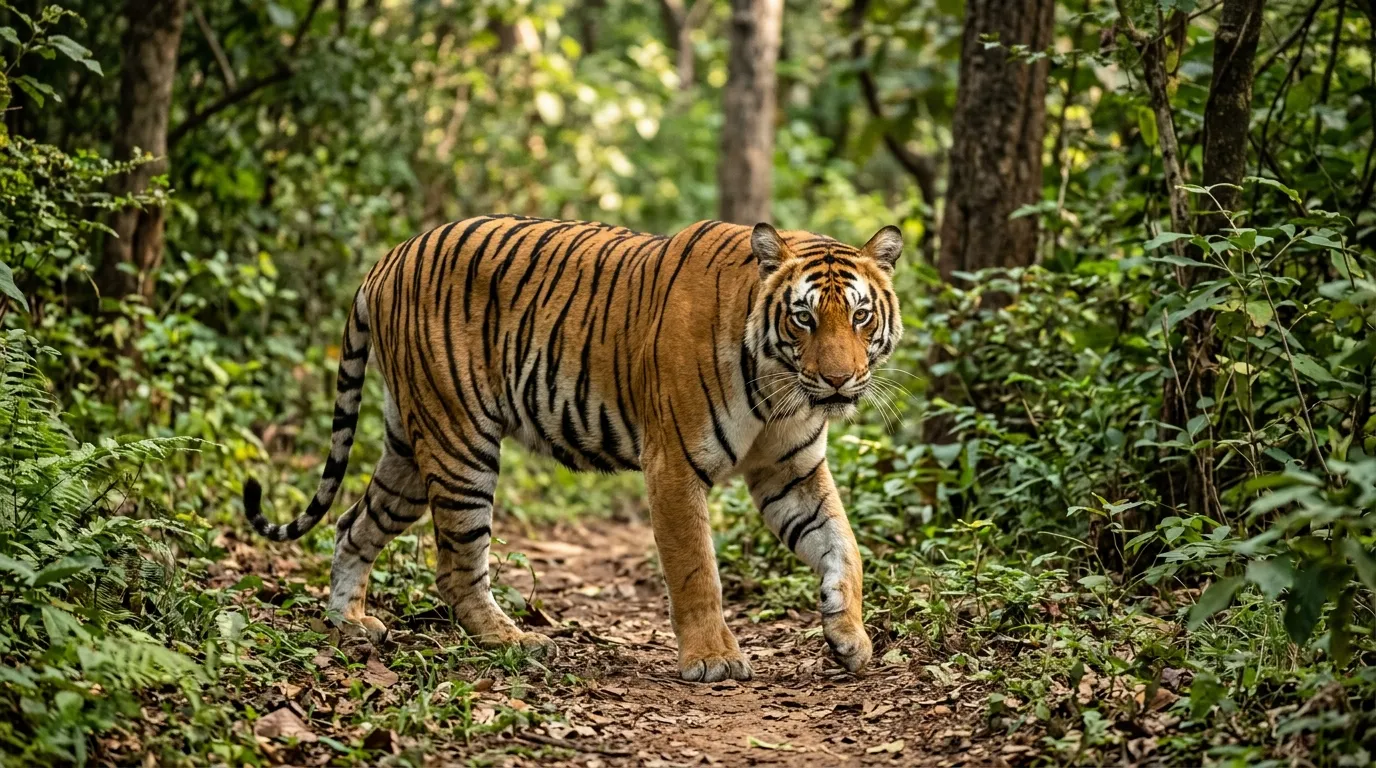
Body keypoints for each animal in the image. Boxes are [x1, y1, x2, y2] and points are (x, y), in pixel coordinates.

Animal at [242, 215, 904, 682]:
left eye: (860, 317)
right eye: (804, 319)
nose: (840, 380)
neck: (780, 387)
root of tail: (387, 258)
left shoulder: (791, 470)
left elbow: (844, 545)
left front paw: (849, 637)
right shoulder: (674, 465)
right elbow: (696, 570)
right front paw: (713, 659)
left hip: (410, 444)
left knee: (352, 525)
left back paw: (349, 625)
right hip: (461, 444)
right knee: (456, 566)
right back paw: (514, 642)